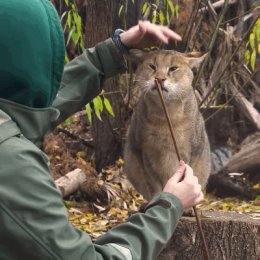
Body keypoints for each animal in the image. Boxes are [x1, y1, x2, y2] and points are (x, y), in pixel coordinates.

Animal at [124, 49, 211, 202]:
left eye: (173, 68)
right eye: (152, 66)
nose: (159, 78)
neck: (166, 116)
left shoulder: (190, 153)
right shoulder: (144, 153)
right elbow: (154, 185)